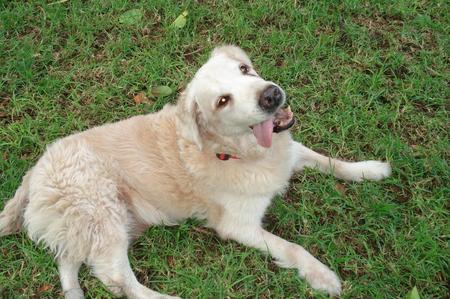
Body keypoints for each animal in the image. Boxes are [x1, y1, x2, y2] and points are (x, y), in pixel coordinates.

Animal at [0, 45, 390, 298]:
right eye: (223, 101)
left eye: (244, 70)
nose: (271, 95)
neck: (237, 152)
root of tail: (35, 170)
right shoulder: (238, 226)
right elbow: (292, 248)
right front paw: (321, 275)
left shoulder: (290, 152)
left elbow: (332, 162)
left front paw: (371, 170)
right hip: (102, 214)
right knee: (116, 278)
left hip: (90, 226)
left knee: (69, 261)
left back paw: (74, 292)